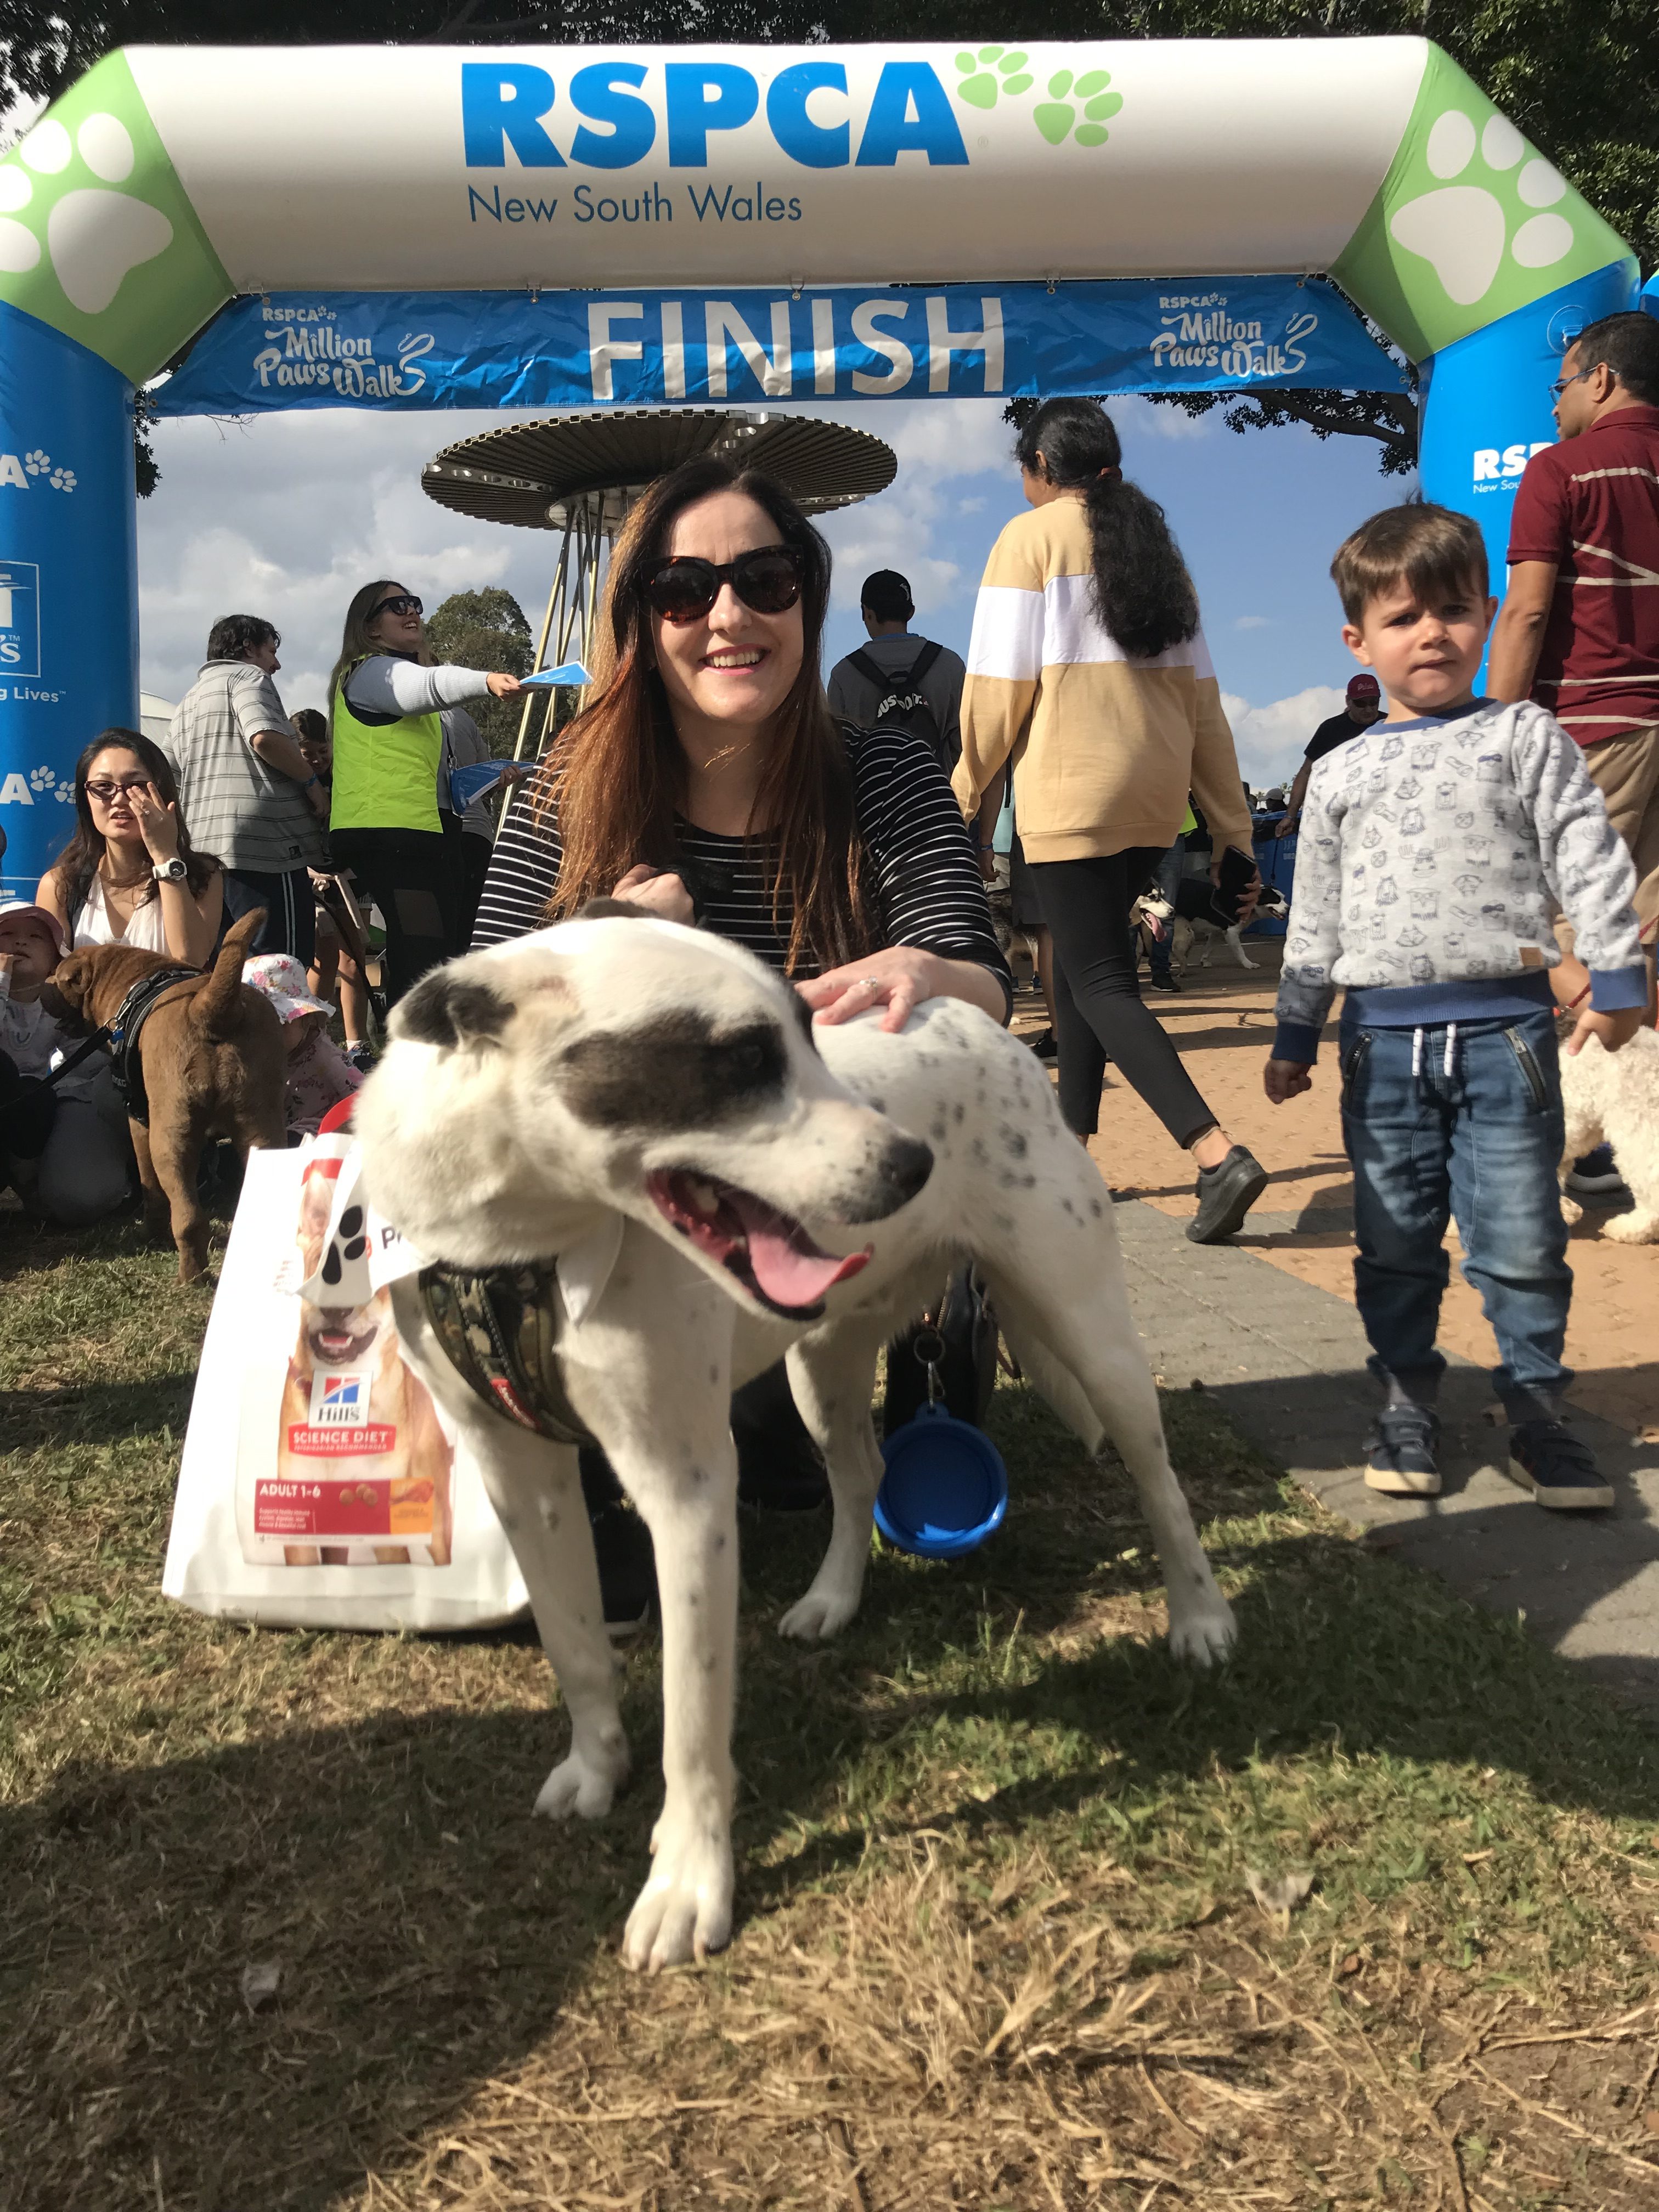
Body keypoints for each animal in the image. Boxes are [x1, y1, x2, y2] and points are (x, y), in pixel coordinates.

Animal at [44, 902, 285, 1283]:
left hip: (171, 1135)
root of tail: (210, 1007)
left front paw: (149, 1233)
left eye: (58, 978)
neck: (129, 981)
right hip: (262, 1124)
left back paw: (191, 1277)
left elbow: (150, 1188)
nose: (40, 988)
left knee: (189, 1217)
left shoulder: (138, 1120)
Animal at [354, 916, 1238, 1973]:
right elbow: (574, 1645)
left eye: (809, 1032)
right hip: (822, 1364)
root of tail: (985, 1023)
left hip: (1087, 1325)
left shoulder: (687, 1487)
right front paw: (596, 1765)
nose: (912, 1166)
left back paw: (1199, 1618)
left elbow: (693, 1723)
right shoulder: (515, 1472)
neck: (524, 1242)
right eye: (741, 1059)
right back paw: (831, 1598)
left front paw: (687, 1884)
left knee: (1160, 1480)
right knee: (860, 1479)